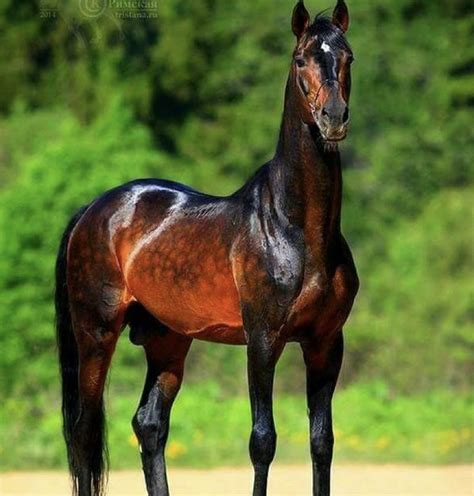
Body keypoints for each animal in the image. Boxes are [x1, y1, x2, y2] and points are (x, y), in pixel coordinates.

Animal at [54, 1, 360, 494]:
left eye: (348, 56)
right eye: (301, 60)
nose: (333, 118)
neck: (298, 231)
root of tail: (93, 210)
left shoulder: (326, 343)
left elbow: (322, 443)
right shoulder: (262, 341)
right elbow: (263, 441)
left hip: (168, 340)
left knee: (149, 425)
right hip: (96, 333)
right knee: (84, 431)